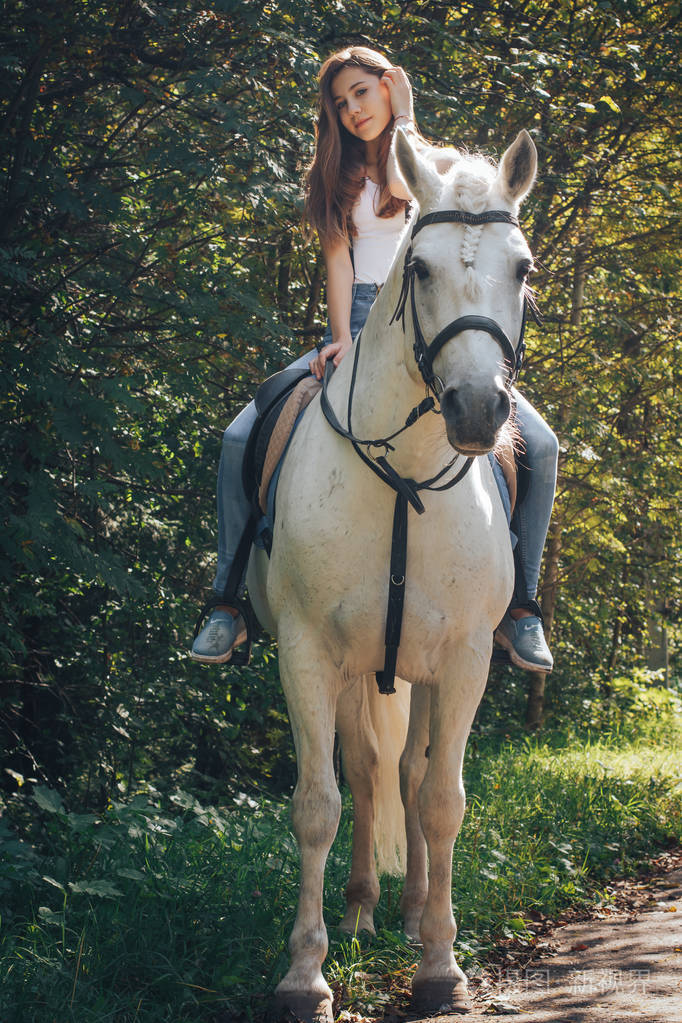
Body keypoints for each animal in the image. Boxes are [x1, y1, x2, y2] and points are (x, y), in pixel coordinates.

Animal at [247, 127, 538, 1022]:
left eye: (524, 268)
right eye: (421, 268)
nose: (478, 410)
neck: (404, 476)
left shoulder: (466, 658)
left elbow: (442, 800)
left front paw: (441, 964)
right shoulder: (307, 654)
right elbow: (318, 804)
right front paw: (305, 974)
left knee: (408, 774)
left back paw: (410, 914)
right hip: (356, 670)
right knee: (371, 774)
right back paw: (363, 909)